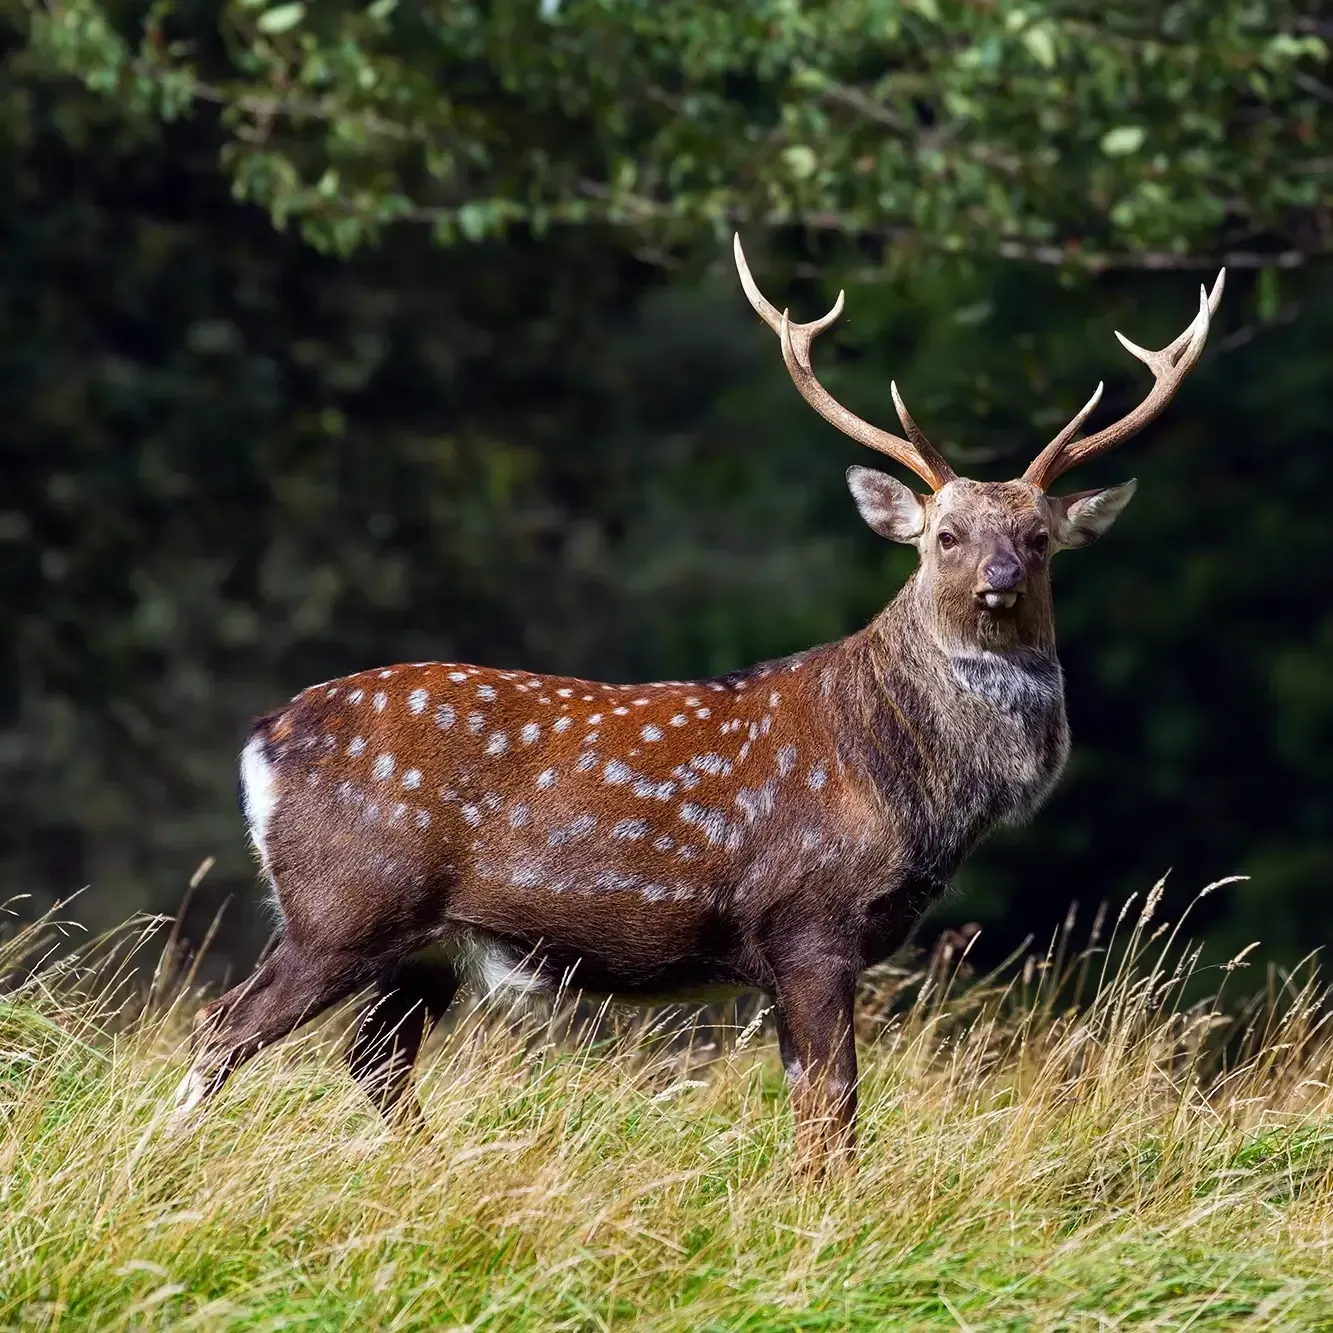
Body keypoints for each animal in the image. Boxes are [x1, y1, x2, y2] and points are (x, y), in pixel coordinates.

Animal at [173, 237, 1224, 1168]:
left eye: (1041, 538)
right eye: (944, 535)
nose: (1000, 581)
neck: (908, 786)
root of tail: (263, 738)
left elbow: (813, 1109)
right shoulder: (809, 920)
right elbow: (834, 1114)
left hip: (422, 943)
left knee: (373, 1060)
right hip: (342, 903)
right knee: (220, 1029)